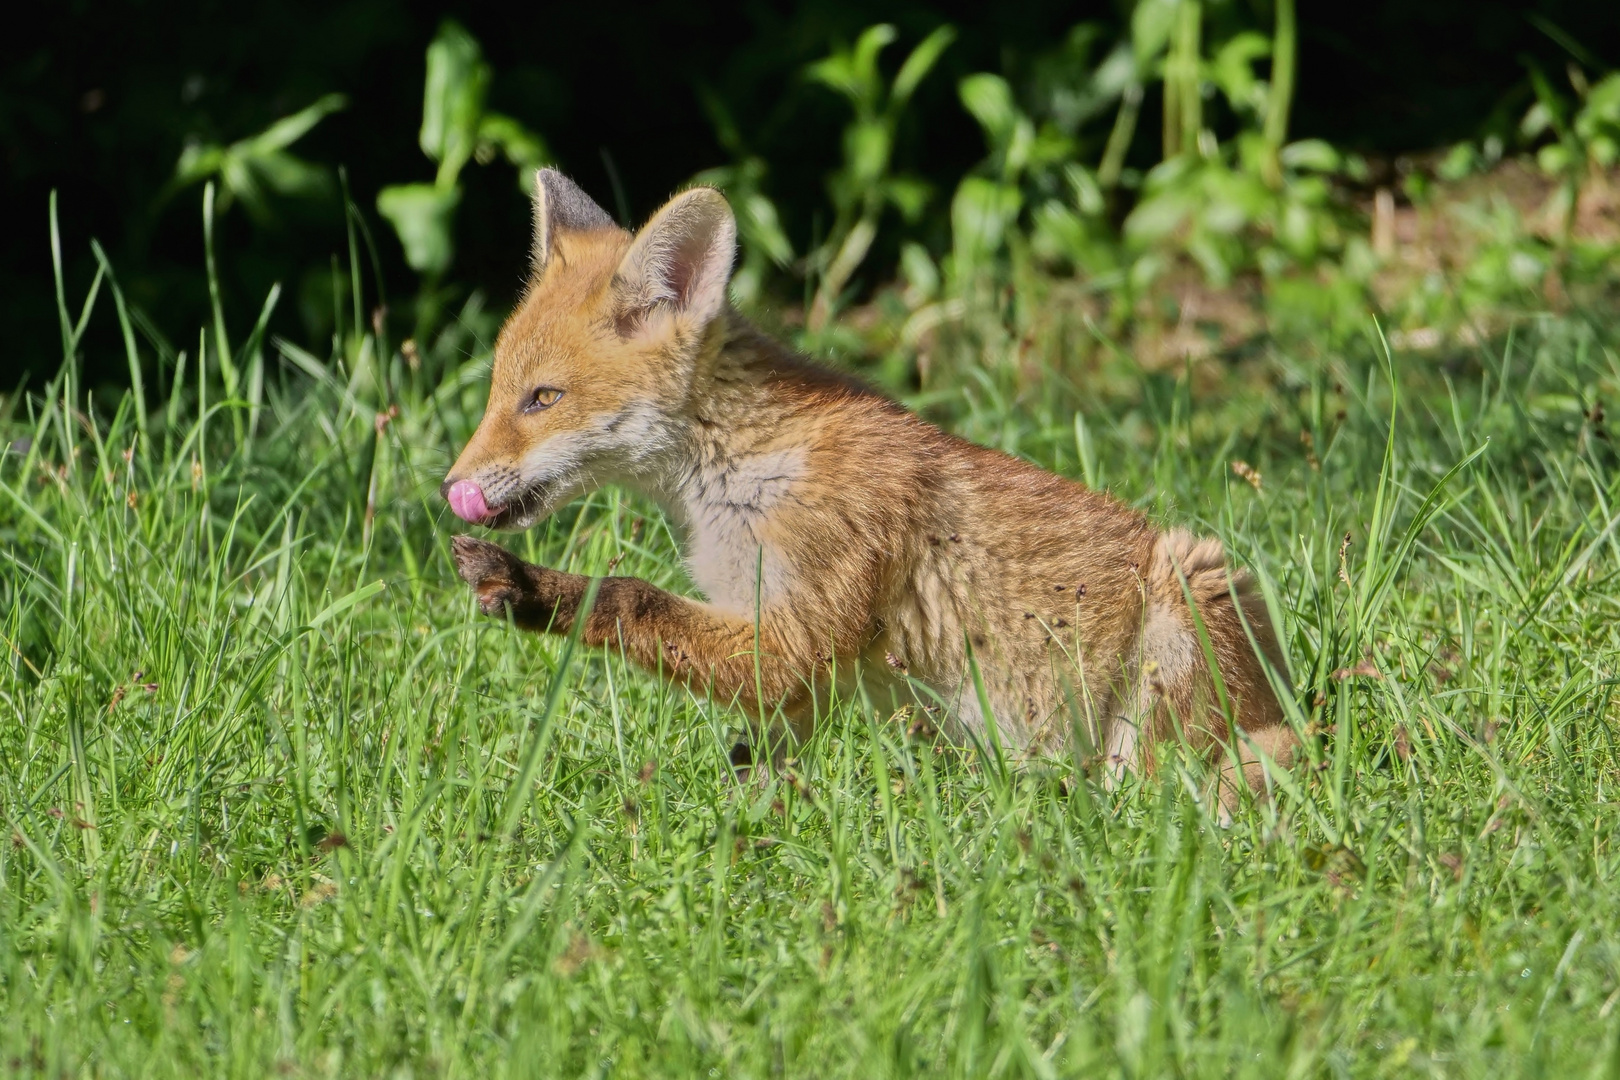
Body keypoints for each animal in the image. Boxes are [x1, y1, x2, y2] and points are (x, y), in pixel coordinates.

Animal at [440, 169, 1289, 806]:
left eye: (542, 399)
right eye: (498, 390)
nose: (451, 487)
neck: (742, 474)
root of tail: (1294, 715)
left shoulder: (797, 632)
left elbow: (626, 596)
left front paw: (528, 587)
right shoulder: (792, 668)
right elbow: (755, 761)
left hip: (1185, 602)